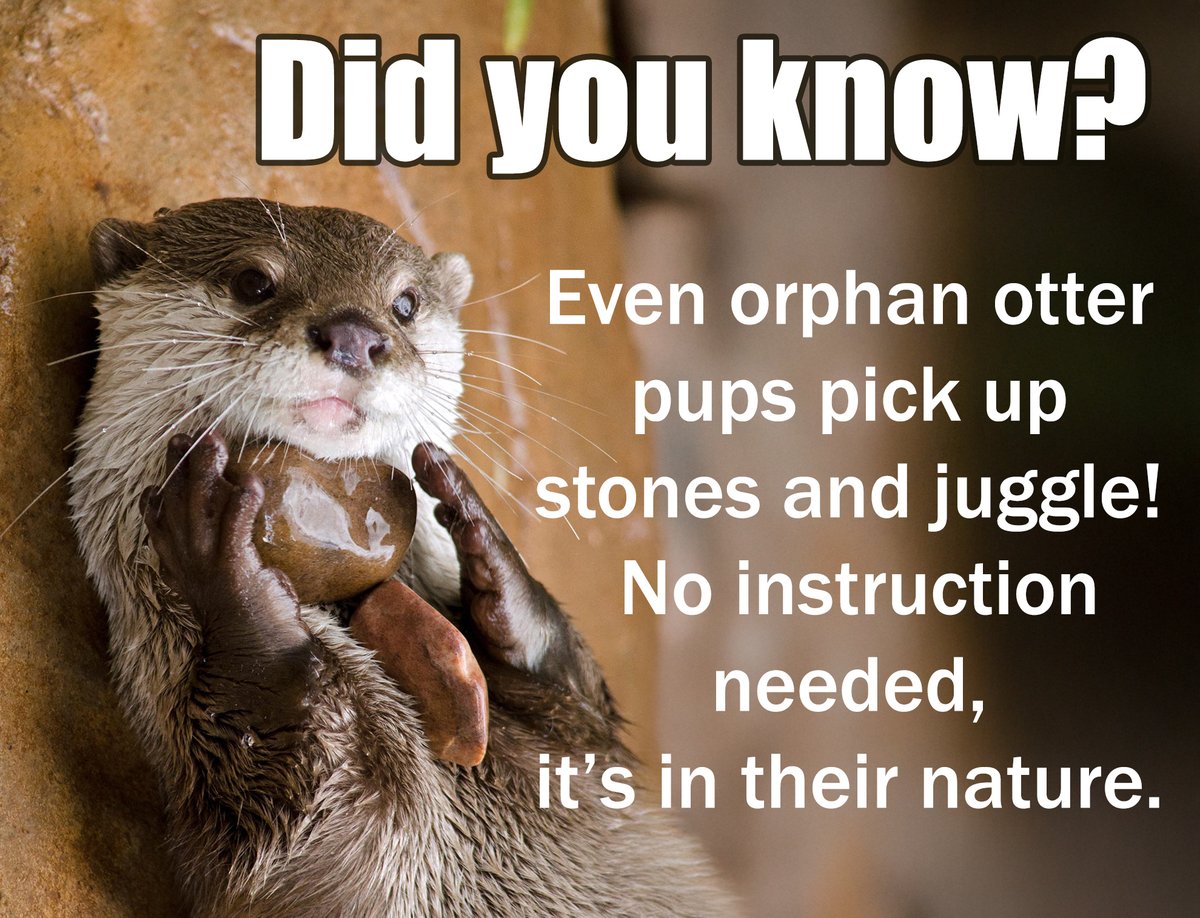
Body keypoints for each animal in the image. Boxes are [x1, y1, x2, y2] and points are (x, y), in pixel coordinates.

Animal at [68, 198, 734, 916]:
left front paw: (483, 535)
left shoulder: (583, 756)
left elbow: (585, 713)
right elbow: (301, 815)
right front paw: (222, 558)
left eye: (406, 304)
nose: (355, 335)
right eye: (253, 281)